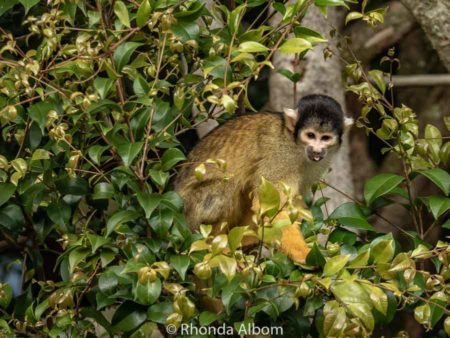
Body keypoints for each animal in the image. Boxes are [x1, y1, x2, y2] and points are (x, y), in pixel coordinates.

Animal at [174, 94, 354, 264]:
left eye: (325, 138)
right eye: (310, 135)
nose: (317, 150)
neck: (295, 143)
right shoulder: (281, 157)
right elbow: (271, 207)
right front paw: (304, 254)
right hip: (193, 212)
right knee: (226, 187)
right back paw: (215, 244)